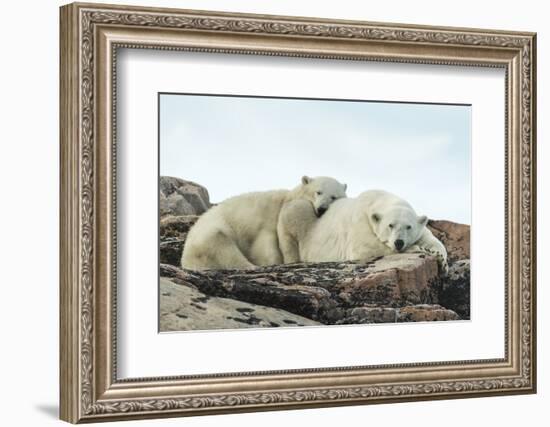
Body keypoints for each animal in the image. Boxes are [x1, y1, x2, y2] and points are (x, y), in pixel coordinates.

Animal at [182, 176, 350, 270]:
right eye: (318, 192)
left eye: (334, 197)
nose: (322, 209)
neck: (287, 199)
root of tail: (185, 259)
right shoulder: (266, 220)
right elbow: (265, 245)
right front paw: (273, 262)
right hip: (210, 234)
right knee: (224, 249)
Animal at [280, 190, 448, 274]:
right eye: (390, 225)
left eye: (409, 227)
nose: (399, 242)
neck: (377, 199)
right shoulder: (361, 220)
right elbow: (364, 248)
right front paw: (418, 248)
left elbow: (432, 240)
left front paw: (441, 260)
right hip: (302, 219)